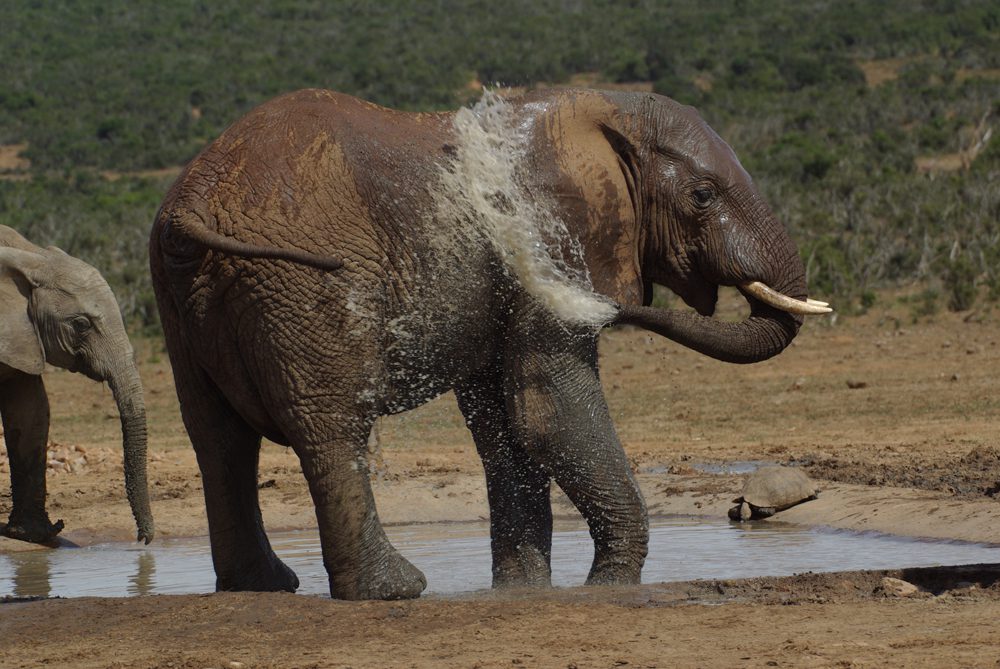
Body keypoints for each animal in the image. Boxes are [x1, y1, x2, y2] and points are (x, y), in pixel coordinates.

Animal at [0, 225, 153, 544]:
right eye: (81, 324)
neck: (31, 256)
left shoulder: (22, 335)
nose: (143, 539)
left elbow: (30, 411)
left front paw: (34, 534)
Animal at [149, 87, 828, 600]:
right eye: (702, 197)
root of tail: (197, 196)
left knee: (217, 438)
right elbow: (547, 413)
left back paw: (262, 586)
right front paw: (608, 588)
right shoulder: (549, 240)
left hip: (179, 292)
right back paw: (394, 591)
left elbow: (506, 429)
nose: (619, 307)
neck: (598, 111)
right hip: (303, 281)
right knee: (330, 428)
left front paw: (524, 592)